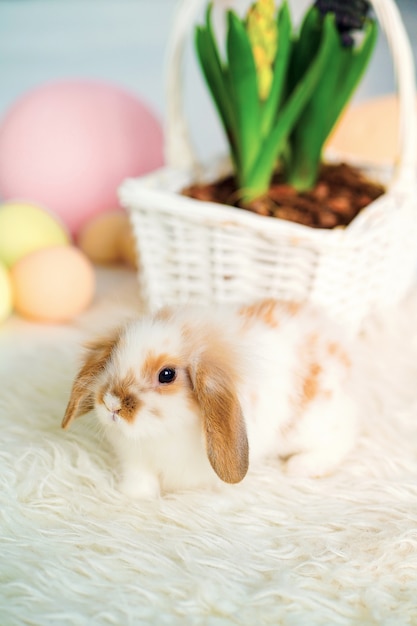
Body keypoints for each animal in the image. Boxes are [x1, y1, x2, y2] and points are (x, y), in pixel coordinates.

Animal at [61, 298, 358, 498]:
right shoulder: (137, 460)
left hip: (315, 425)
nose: (112, 403)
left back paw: (301, 467)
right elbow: (141, 480)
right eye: (114, 356)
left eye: (166, 375)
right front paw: (134, 495)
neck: (162, 434)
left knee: (340, 443)